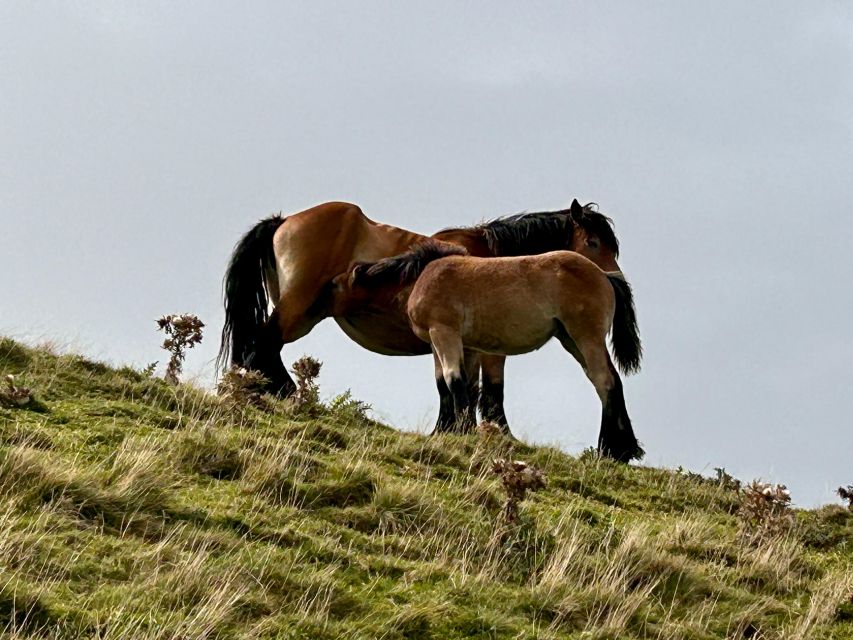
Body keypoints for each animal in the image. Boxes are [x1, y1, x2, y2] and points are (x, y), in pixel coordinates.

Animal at [216, 198, 624, 432]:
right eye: (592, 243)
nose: (615, 282)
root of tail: (283, 221)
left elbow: (461, 388)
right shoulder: (485, 346)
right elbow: (489, 392)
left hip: (302, 314)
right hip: (297, 309)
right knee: (262, 346)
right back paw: (281, 394)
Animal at [338, 240, 640, 460]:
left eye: (336, 285)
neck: (425, 277)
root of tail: (604, 275)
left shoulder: (444, 333)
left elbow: (454, 380)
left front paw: (462, 431)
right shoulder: (443, 343)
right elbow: (443, 384)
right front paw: (442, 432)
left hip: (586, 337)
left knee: (605, 381)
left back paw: (608, 451)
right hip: (571, 340)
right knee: (607, 382)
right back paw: (623, 450)